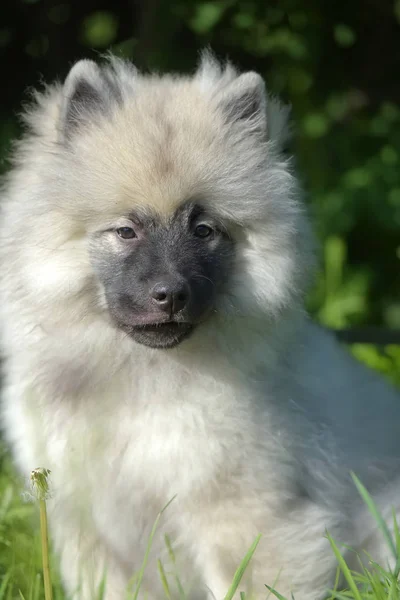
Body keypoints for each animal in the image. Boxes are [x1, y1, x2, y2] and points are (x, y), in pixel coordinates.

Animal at [0, 52, 400, 600]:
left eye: (204, 230)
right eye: (127, 230)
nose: (170, 294)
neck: (139, 378)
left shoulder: (248, 519)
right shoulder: (92, 534)